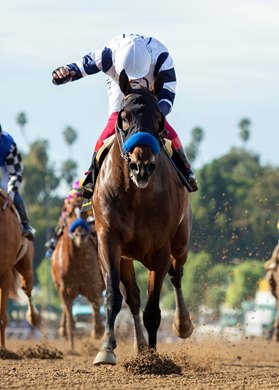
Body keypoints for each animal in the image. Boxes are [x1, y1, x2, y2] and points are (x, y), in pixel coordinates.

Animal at [50, 197, 104, 352]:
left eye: (84, 213)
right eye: (68, 214)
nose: (80, 235)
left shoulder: (95, 285)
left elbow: (97, 305)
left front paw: (97, 332)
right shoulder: (64, 289)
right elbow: (70, 317)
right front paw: (71, 347)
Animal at [93, 71, 194, 366]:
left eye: (159, 118)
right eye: (124, 117)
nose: (142, 166)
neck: (136, 197)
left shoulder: (161, 249)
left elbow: (154, 310)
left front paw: (153, 360)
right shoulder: (108, 240)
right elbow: (114, 297)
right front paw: (107, 349)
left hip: (180, 244)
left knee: (177, 276)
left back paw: (182, 324)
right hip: (127, 257)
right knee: (134, 299)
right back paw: (138, 347)